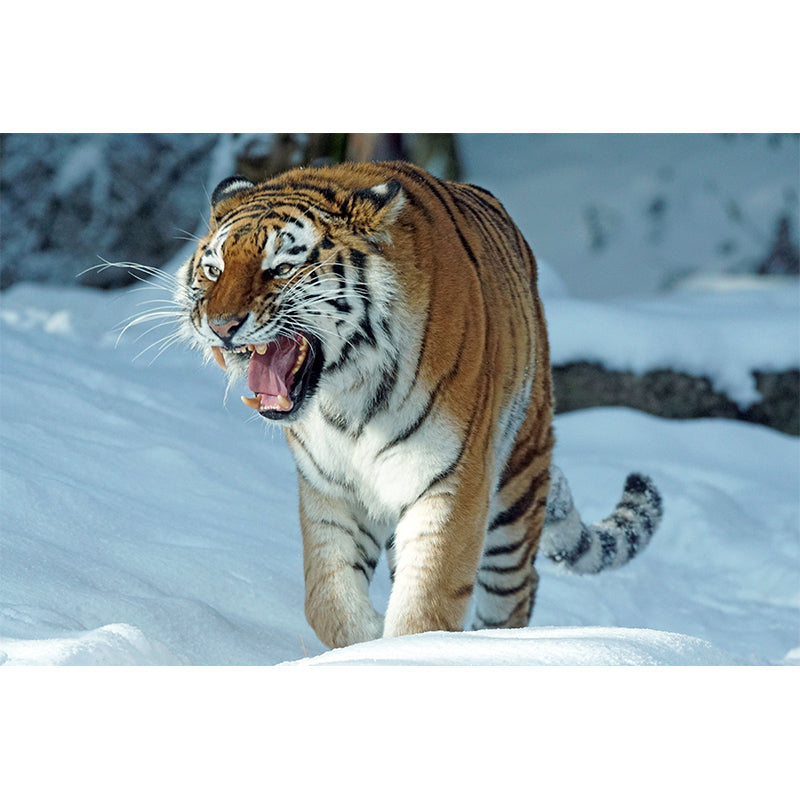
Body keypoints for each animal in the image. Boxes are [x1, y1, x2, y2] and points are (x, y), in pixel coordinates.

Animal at [174, 160, 663, 650]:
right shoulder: (331, 489)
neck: (346, 396)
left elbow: (427, 604)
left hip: (517, 486)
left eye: (281, 268)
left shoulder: (451, 481)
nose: (220, 326)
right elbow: (327, 600)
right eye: (214, 270)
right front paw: (368, 640)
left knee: (516, 591)